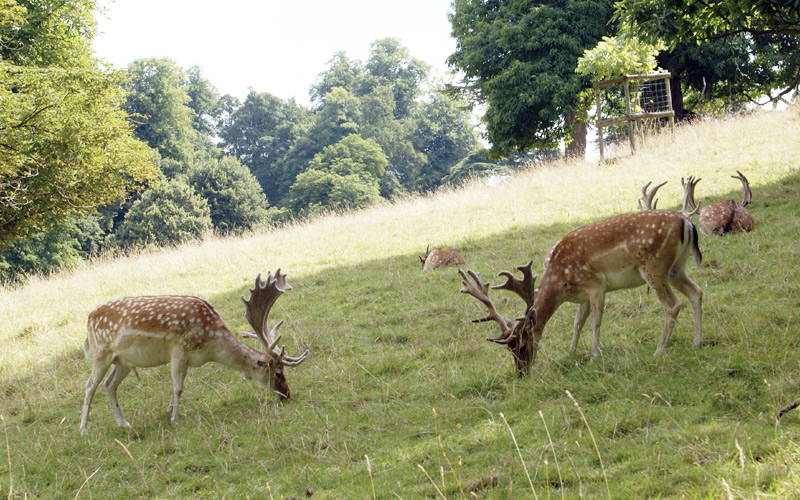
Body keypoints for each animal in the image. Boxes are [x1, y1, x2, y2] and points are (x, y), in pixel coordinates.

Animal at [80, 270, 306, 434]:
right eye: (278, 373)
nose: (287, 394)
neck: (210, 344)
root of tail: (89, 318)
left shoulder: (187, 359)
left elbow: (177, 386)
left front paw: (169, 412)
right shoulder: (179, 349)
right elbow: (178, 387)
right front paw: (174, 419)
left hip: (123, 361)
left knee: (109, 384)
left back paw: (123, 423)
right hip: (101, 352)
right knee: (90, 385)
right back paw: (83, 429)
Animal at [460, 188, 704, 376]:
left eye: (522, 344)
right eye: (509, 350)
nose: (521, 373)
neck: (560, 281)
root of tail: (687, 222)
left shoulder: (595, 285)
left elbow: (595, 321)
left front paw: (595, 356)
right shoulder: (583, 296)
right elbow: (578, 323)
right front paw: (571, 352)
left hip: (654, 267)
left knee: (673, 305)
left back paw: (659, 350)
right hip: (676, 268)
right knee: (697, 292)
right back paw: (696, 341)